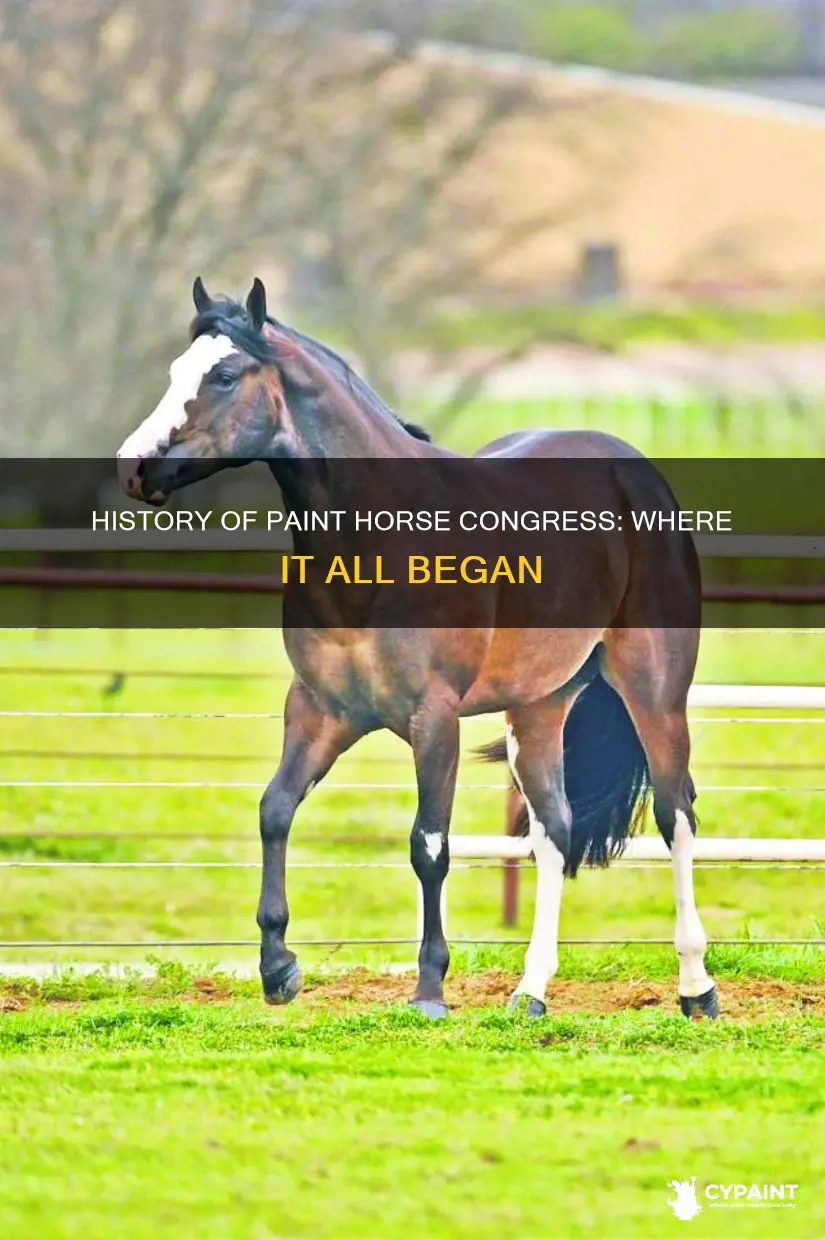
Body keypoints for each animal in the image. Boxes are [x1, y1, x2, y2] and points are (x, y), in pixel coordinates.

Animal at [117, 276, 717, 1021]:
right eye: (178, 370)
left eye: (224, 376)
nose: (134, 468)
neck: (377, 542)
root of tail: (634, 470)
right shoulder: (320, 710)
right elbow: (274, 810)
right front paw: (278, 967)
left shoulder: (434, 720)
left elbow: (428, 844)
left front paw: (429, 989)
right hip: (539, 708)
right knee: (554, 830)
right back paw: (529, 993)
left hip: (653, 690)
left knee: (674, 814)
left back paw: (696, 989)